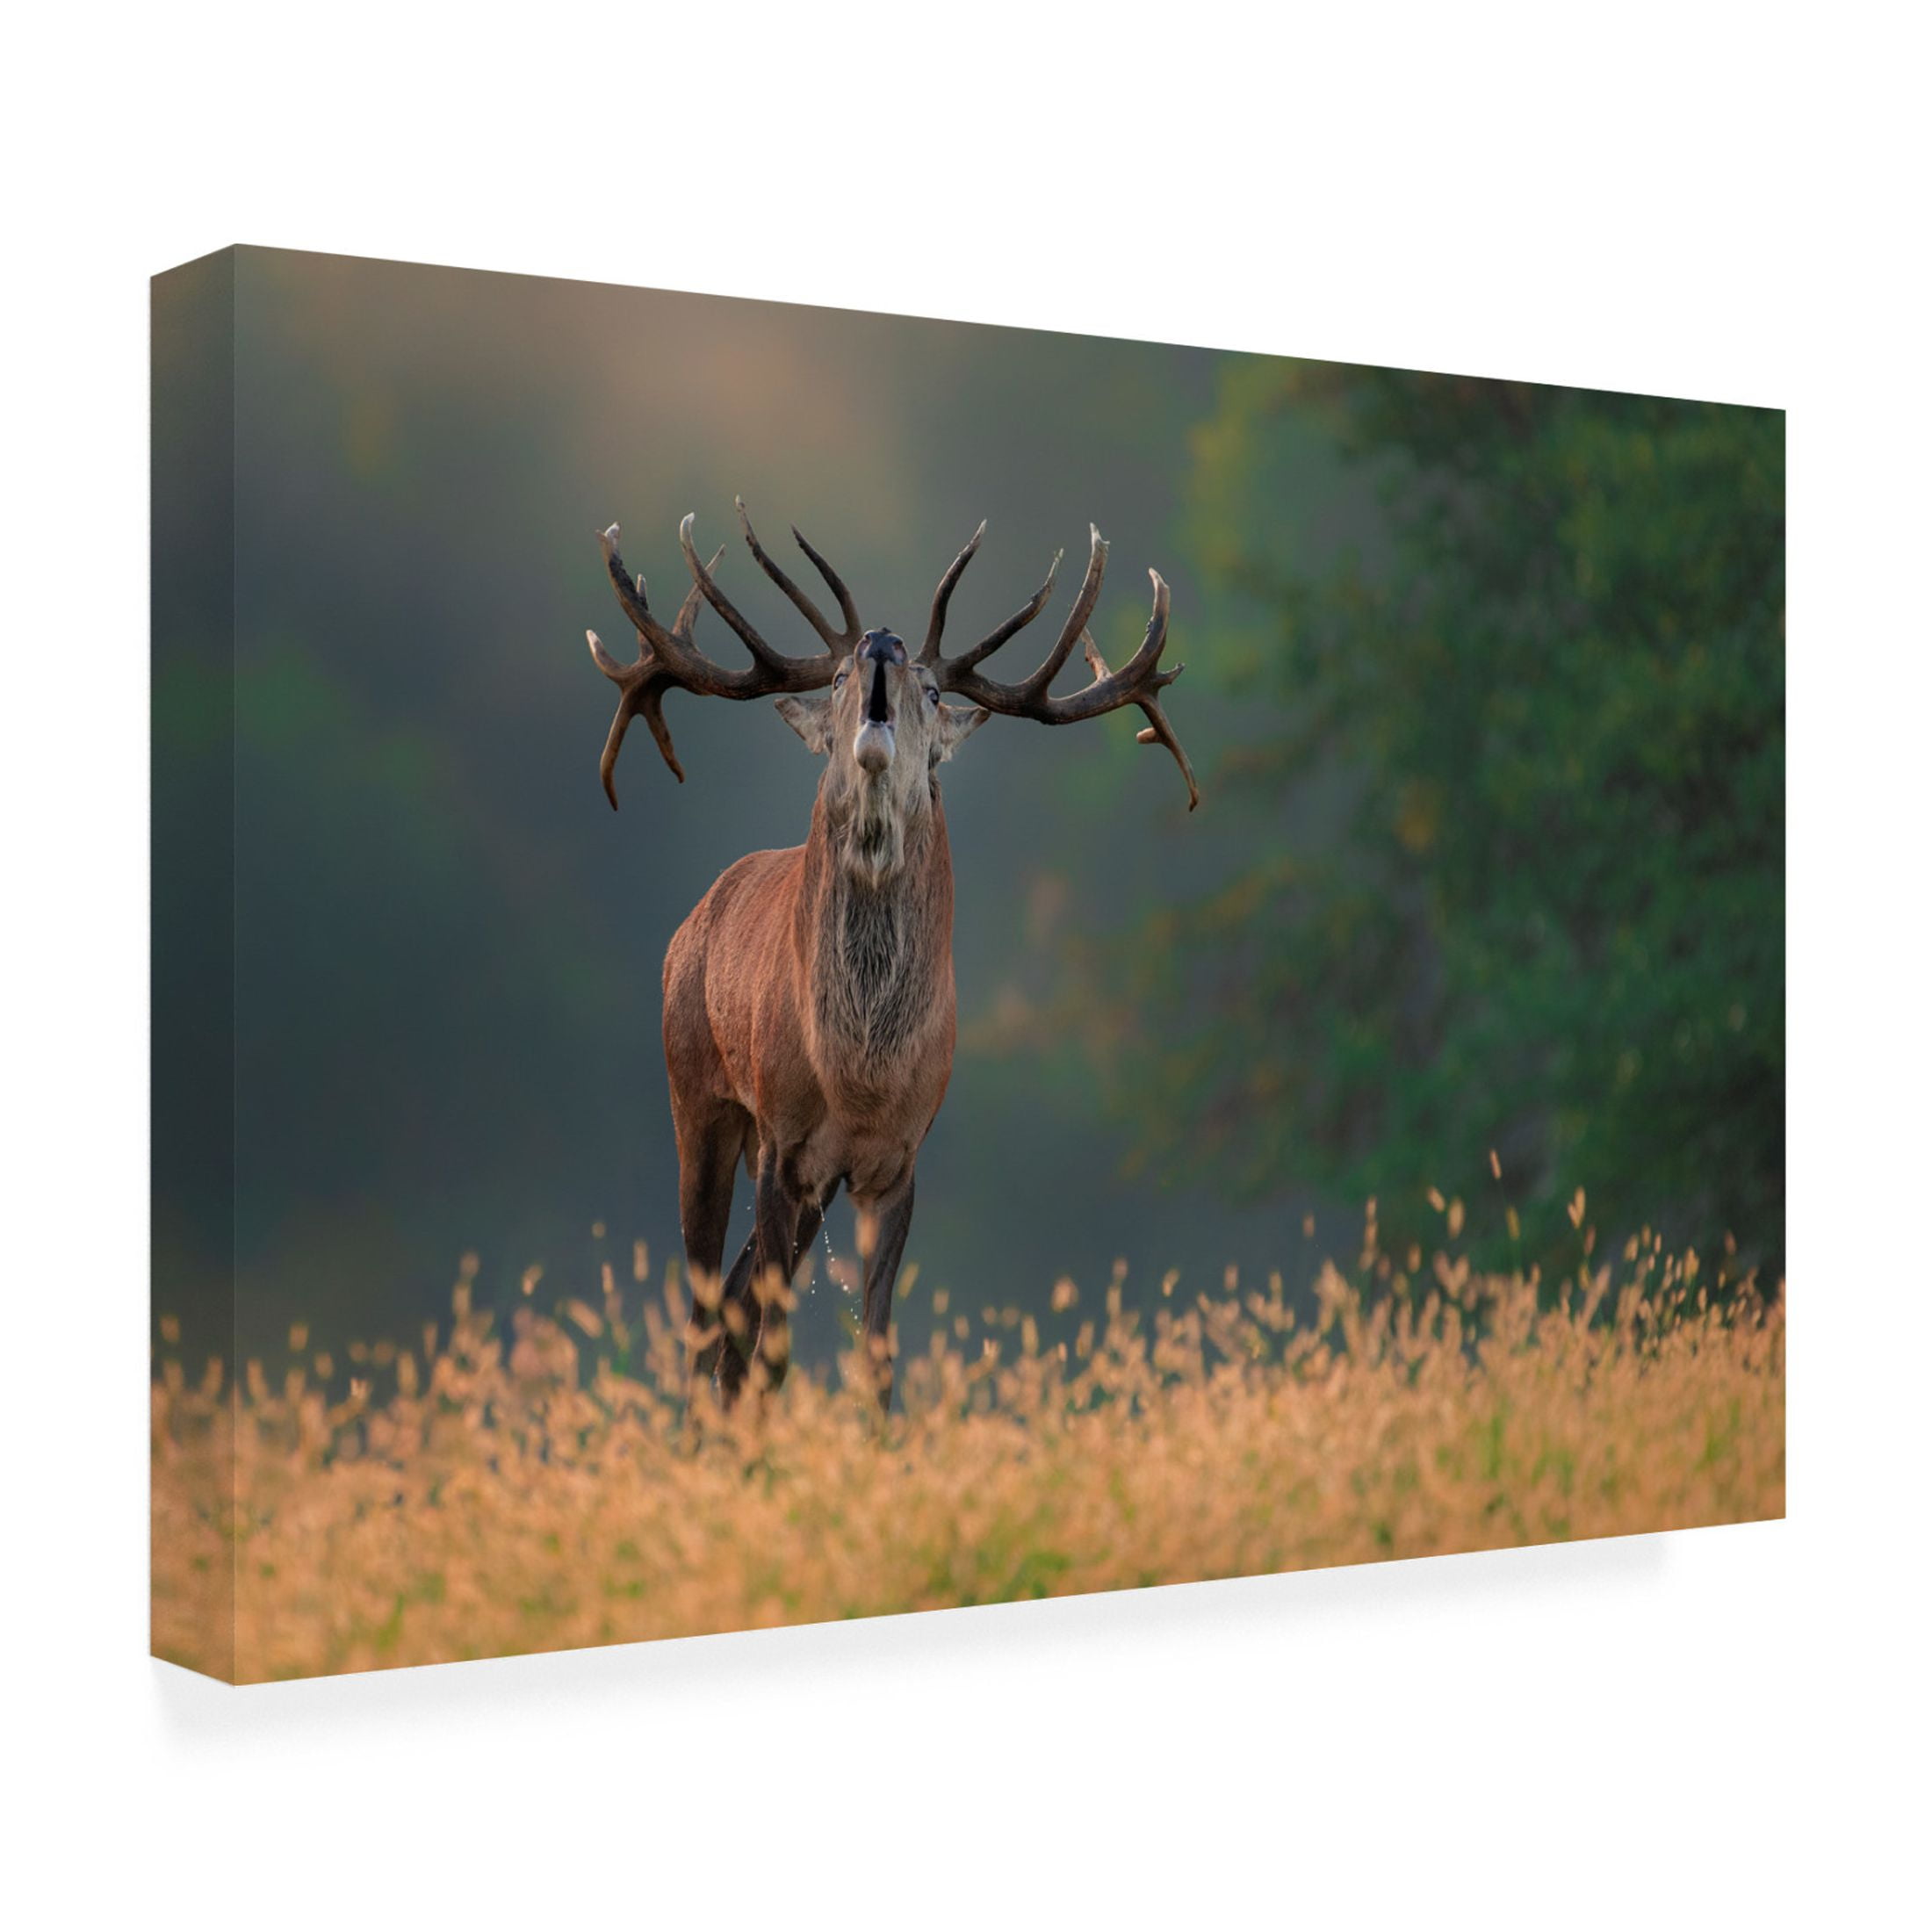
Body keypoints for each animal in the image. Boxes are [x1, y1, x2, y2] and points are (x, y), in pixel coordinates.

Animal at [584, 499, 1196, 1409]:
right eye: (836, 678)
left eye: (934, 689)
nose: (881, 641)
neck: (860, 1074)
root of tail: (692, 923)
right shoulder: (783, 1138)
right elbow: (773, 1346)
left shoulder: (898, 1158)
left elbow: (874, 1358)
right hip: (696, 1095)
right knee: (706, 1315)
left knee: (730, 1312)